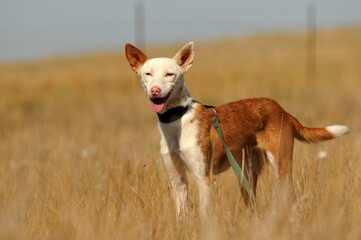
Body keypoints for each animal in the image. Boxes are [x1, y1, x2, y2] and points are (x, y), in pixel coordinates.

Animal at [124, 42, 348, 217]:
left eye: (170, 74)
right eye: (147, 74)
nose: (155, 91)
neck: (177, 121)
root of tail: (282, 110)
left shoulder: (204, 178)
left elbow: (205, 214)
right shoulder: (177, 180)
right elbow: (181, 214)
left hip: (281, 164)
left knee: (289, 197)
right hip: (246, 172)